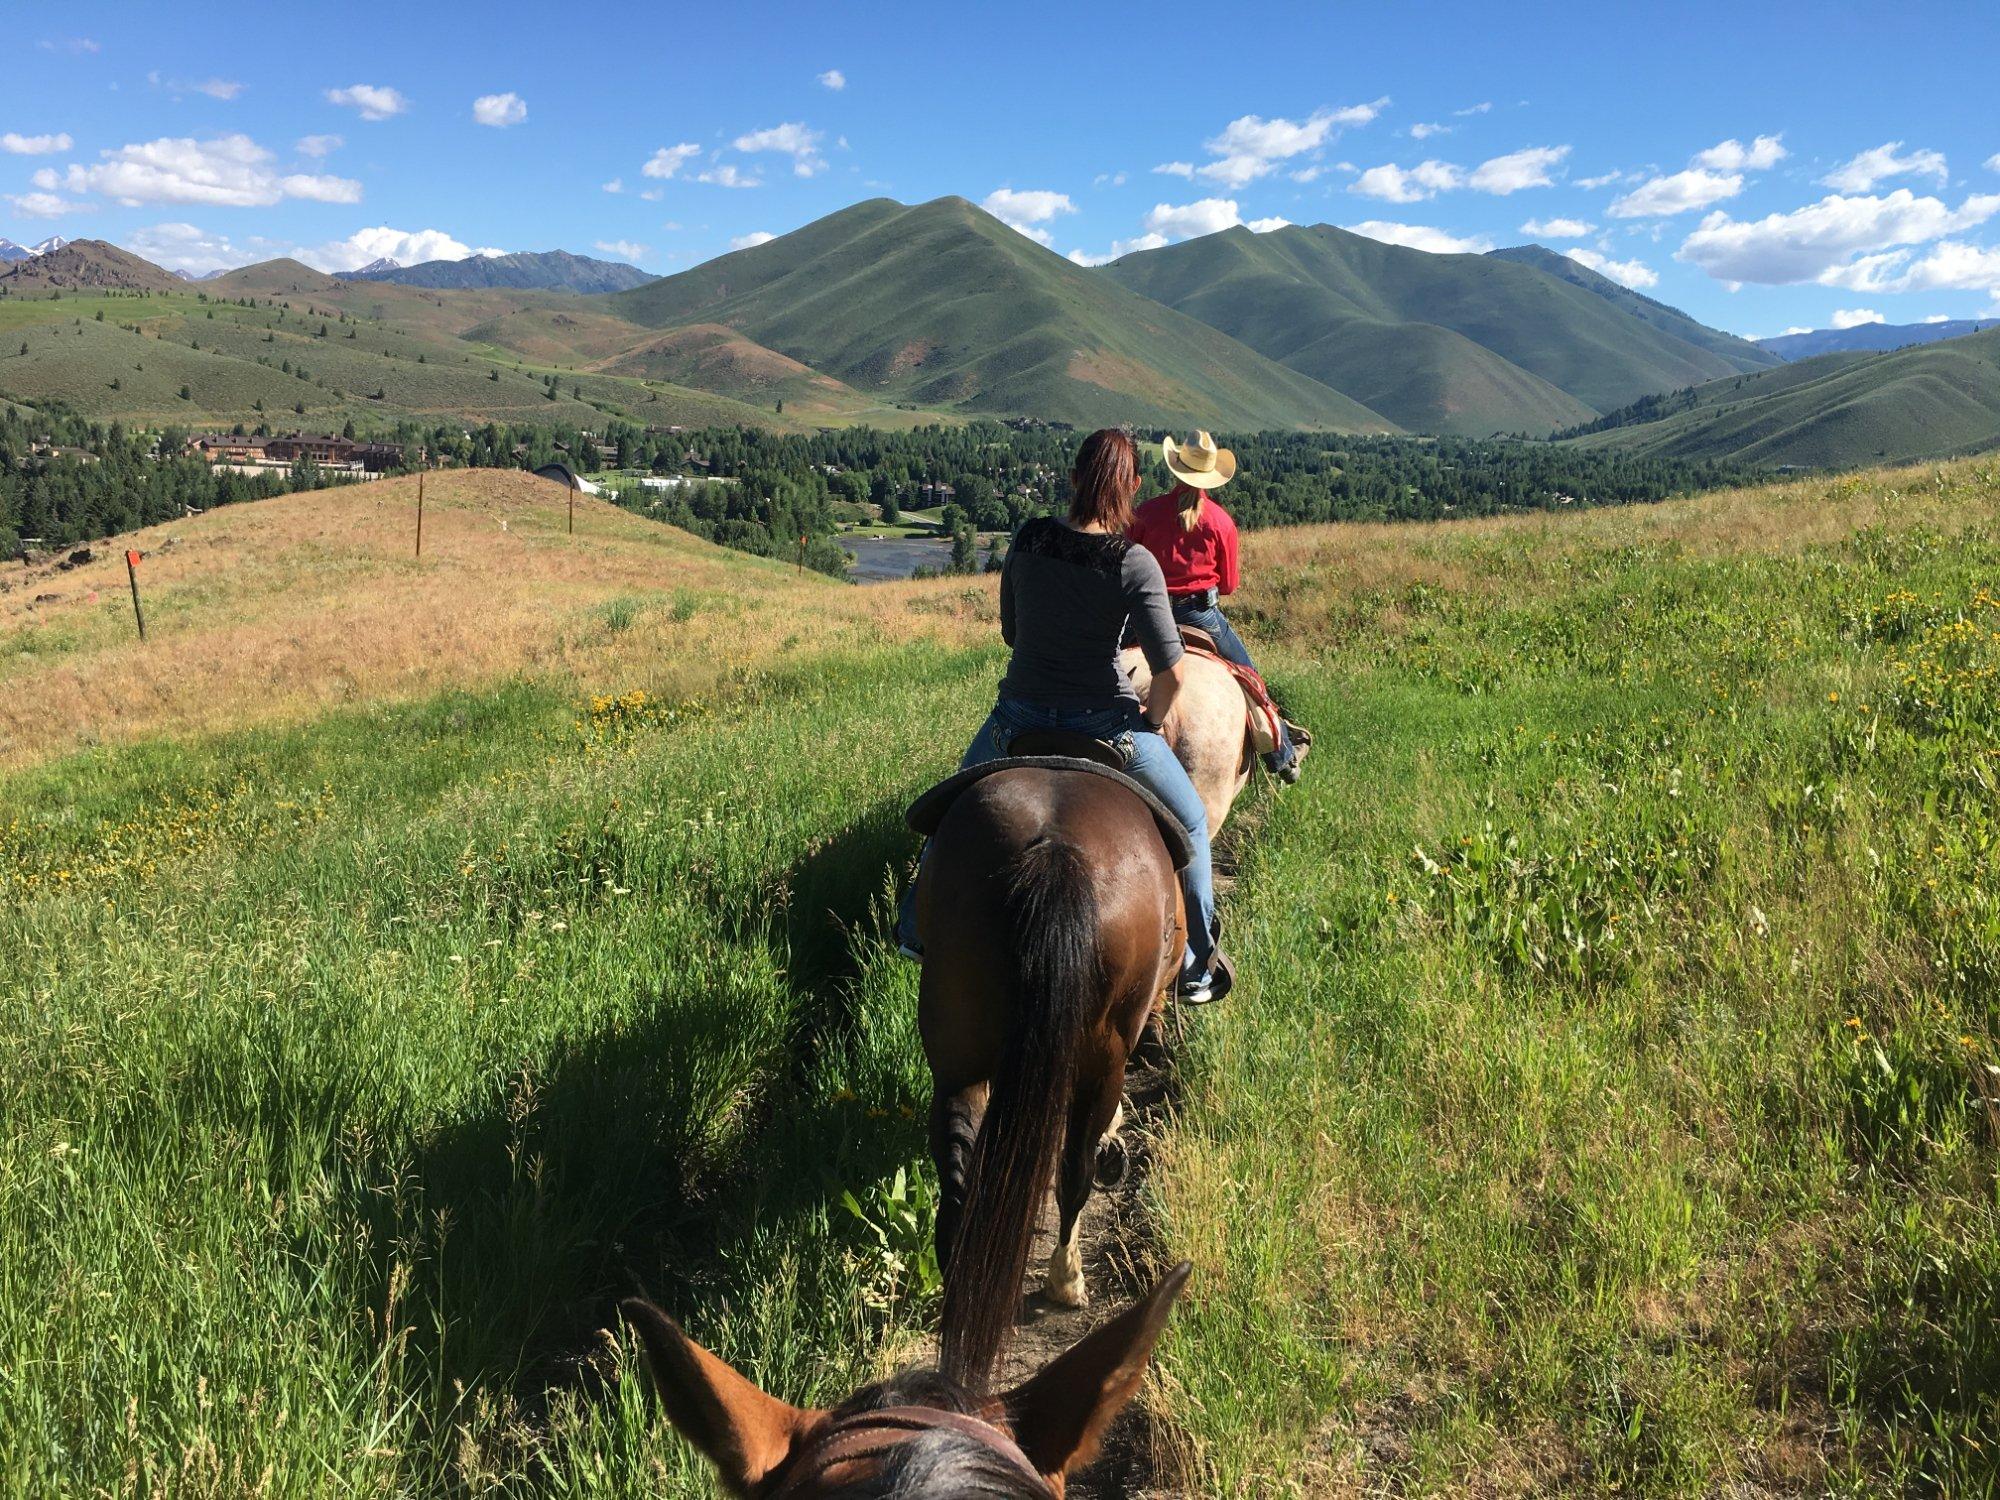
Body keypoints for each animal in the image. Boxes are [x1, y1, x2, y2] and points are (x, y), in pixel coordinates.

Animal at [916, 768, 1184, 1392]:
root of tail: (1053, 849)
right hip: (1101, 1057)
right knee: (1074, 1169)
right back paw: (1067, 1279)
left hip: (956, 1041)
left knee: (959, 1162)